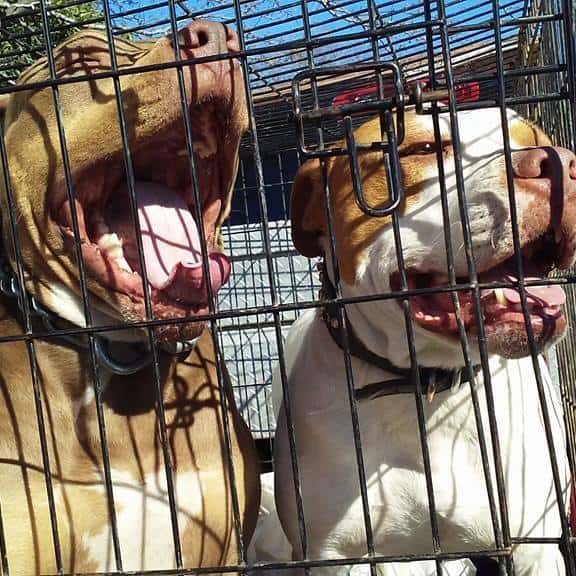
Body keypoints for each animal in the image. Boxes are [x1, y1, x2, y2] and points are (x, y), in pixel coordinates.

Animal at [272, 109, 572, 576]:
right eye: (423, 148)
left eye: (537, 139)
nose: (560, 163)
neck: (422, 385)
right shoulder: (332, 554)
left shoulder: (533, 545)